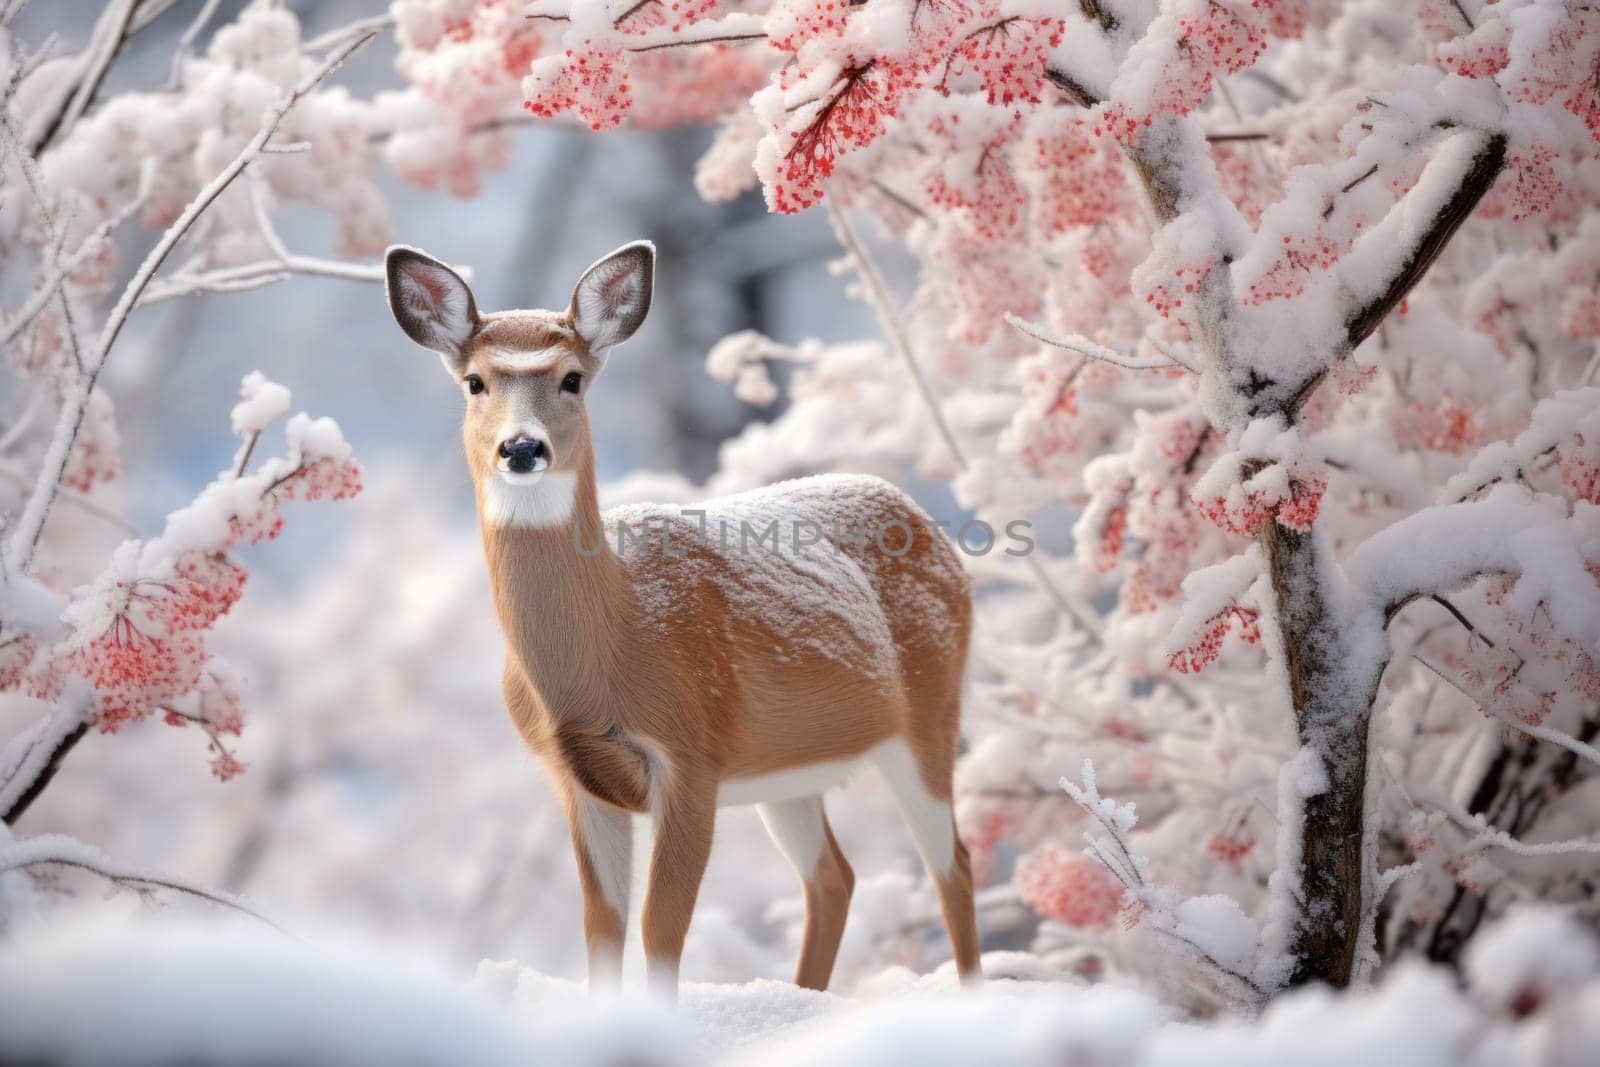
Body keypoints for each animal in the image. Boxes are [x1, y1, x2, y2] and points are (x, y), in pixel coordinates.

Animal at [387, 241, 979, 1004]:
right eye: (474, 383)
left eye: (572, 378)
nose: (521, 448)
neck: (608, 650)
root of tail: (923, 521)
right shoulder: (577, 779)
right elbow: (601, 930)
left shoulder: (691, 753)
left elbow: (660, 928)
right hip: (789, 771)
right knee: (833, 877)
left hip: (929, 715)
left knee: (952, 862)